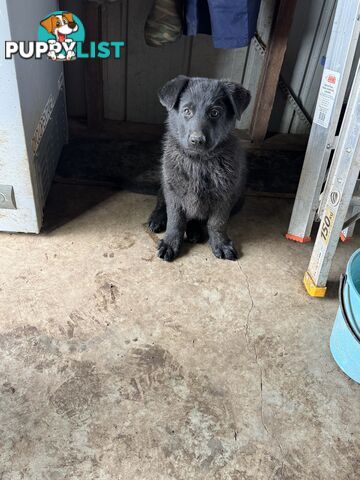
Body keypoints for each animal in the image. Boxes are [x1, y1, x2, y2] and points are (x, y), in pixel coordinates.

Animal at [149, 76, 250, 262]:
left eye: (215, 113)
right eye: (187, 111)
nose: (197, 140)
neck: (198, 162)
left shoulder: (225, 196)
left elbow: (217, 222)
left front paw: (220, 243)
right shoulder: (173, 192)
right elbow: (175, 220)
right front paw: (170, 242)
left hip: (239, 199)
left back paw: (195, 230)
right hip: (164, 184)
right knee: (160, 202)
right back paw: (157, 219)